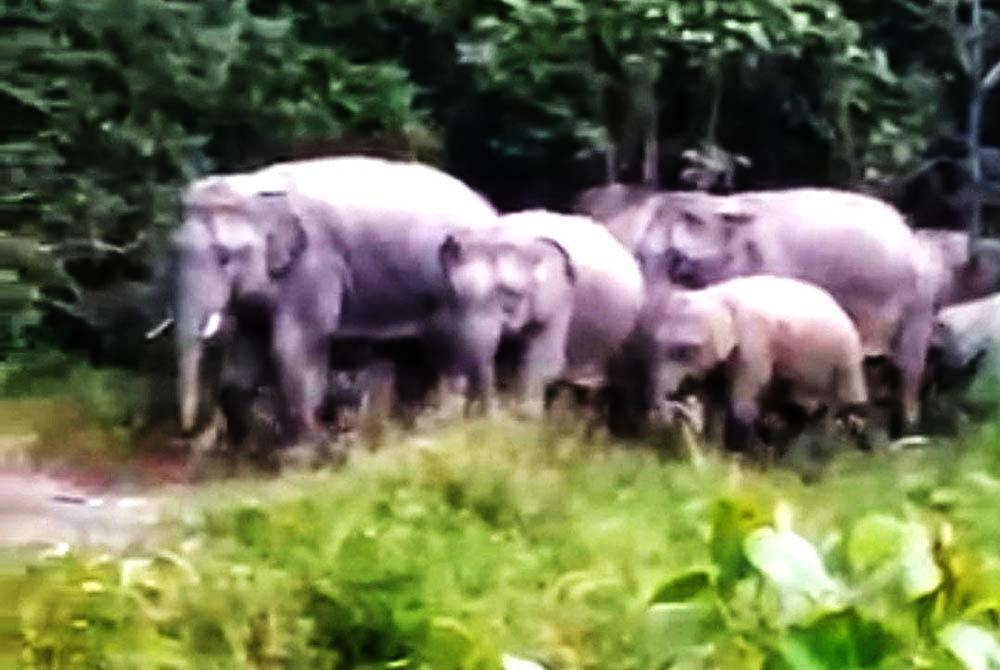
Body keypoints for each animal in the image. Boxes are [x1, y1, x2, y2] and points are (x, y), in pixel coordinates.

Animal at [171, 157, 504, 446]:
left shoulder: (314, 265)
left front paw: (306, 450)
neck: (256, 187)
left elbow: (294, 347)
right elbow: (244, 356)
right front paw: (244, 451)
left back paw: (462, 424)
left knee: (459, 352)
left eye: (224, 257)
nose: (187, 431)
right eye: (171, 251)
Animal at [620, 276, 872, 460]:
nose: (673, 403)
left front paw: (734, 459)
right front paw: (713, 451)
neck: (715, 296)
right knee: (800, 408)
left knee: (850, 405)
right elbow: (715, 399)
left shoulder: (755, 342)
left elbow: (741, 400)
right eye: (657, 344)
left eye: (685, 350)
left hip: (848, 356)